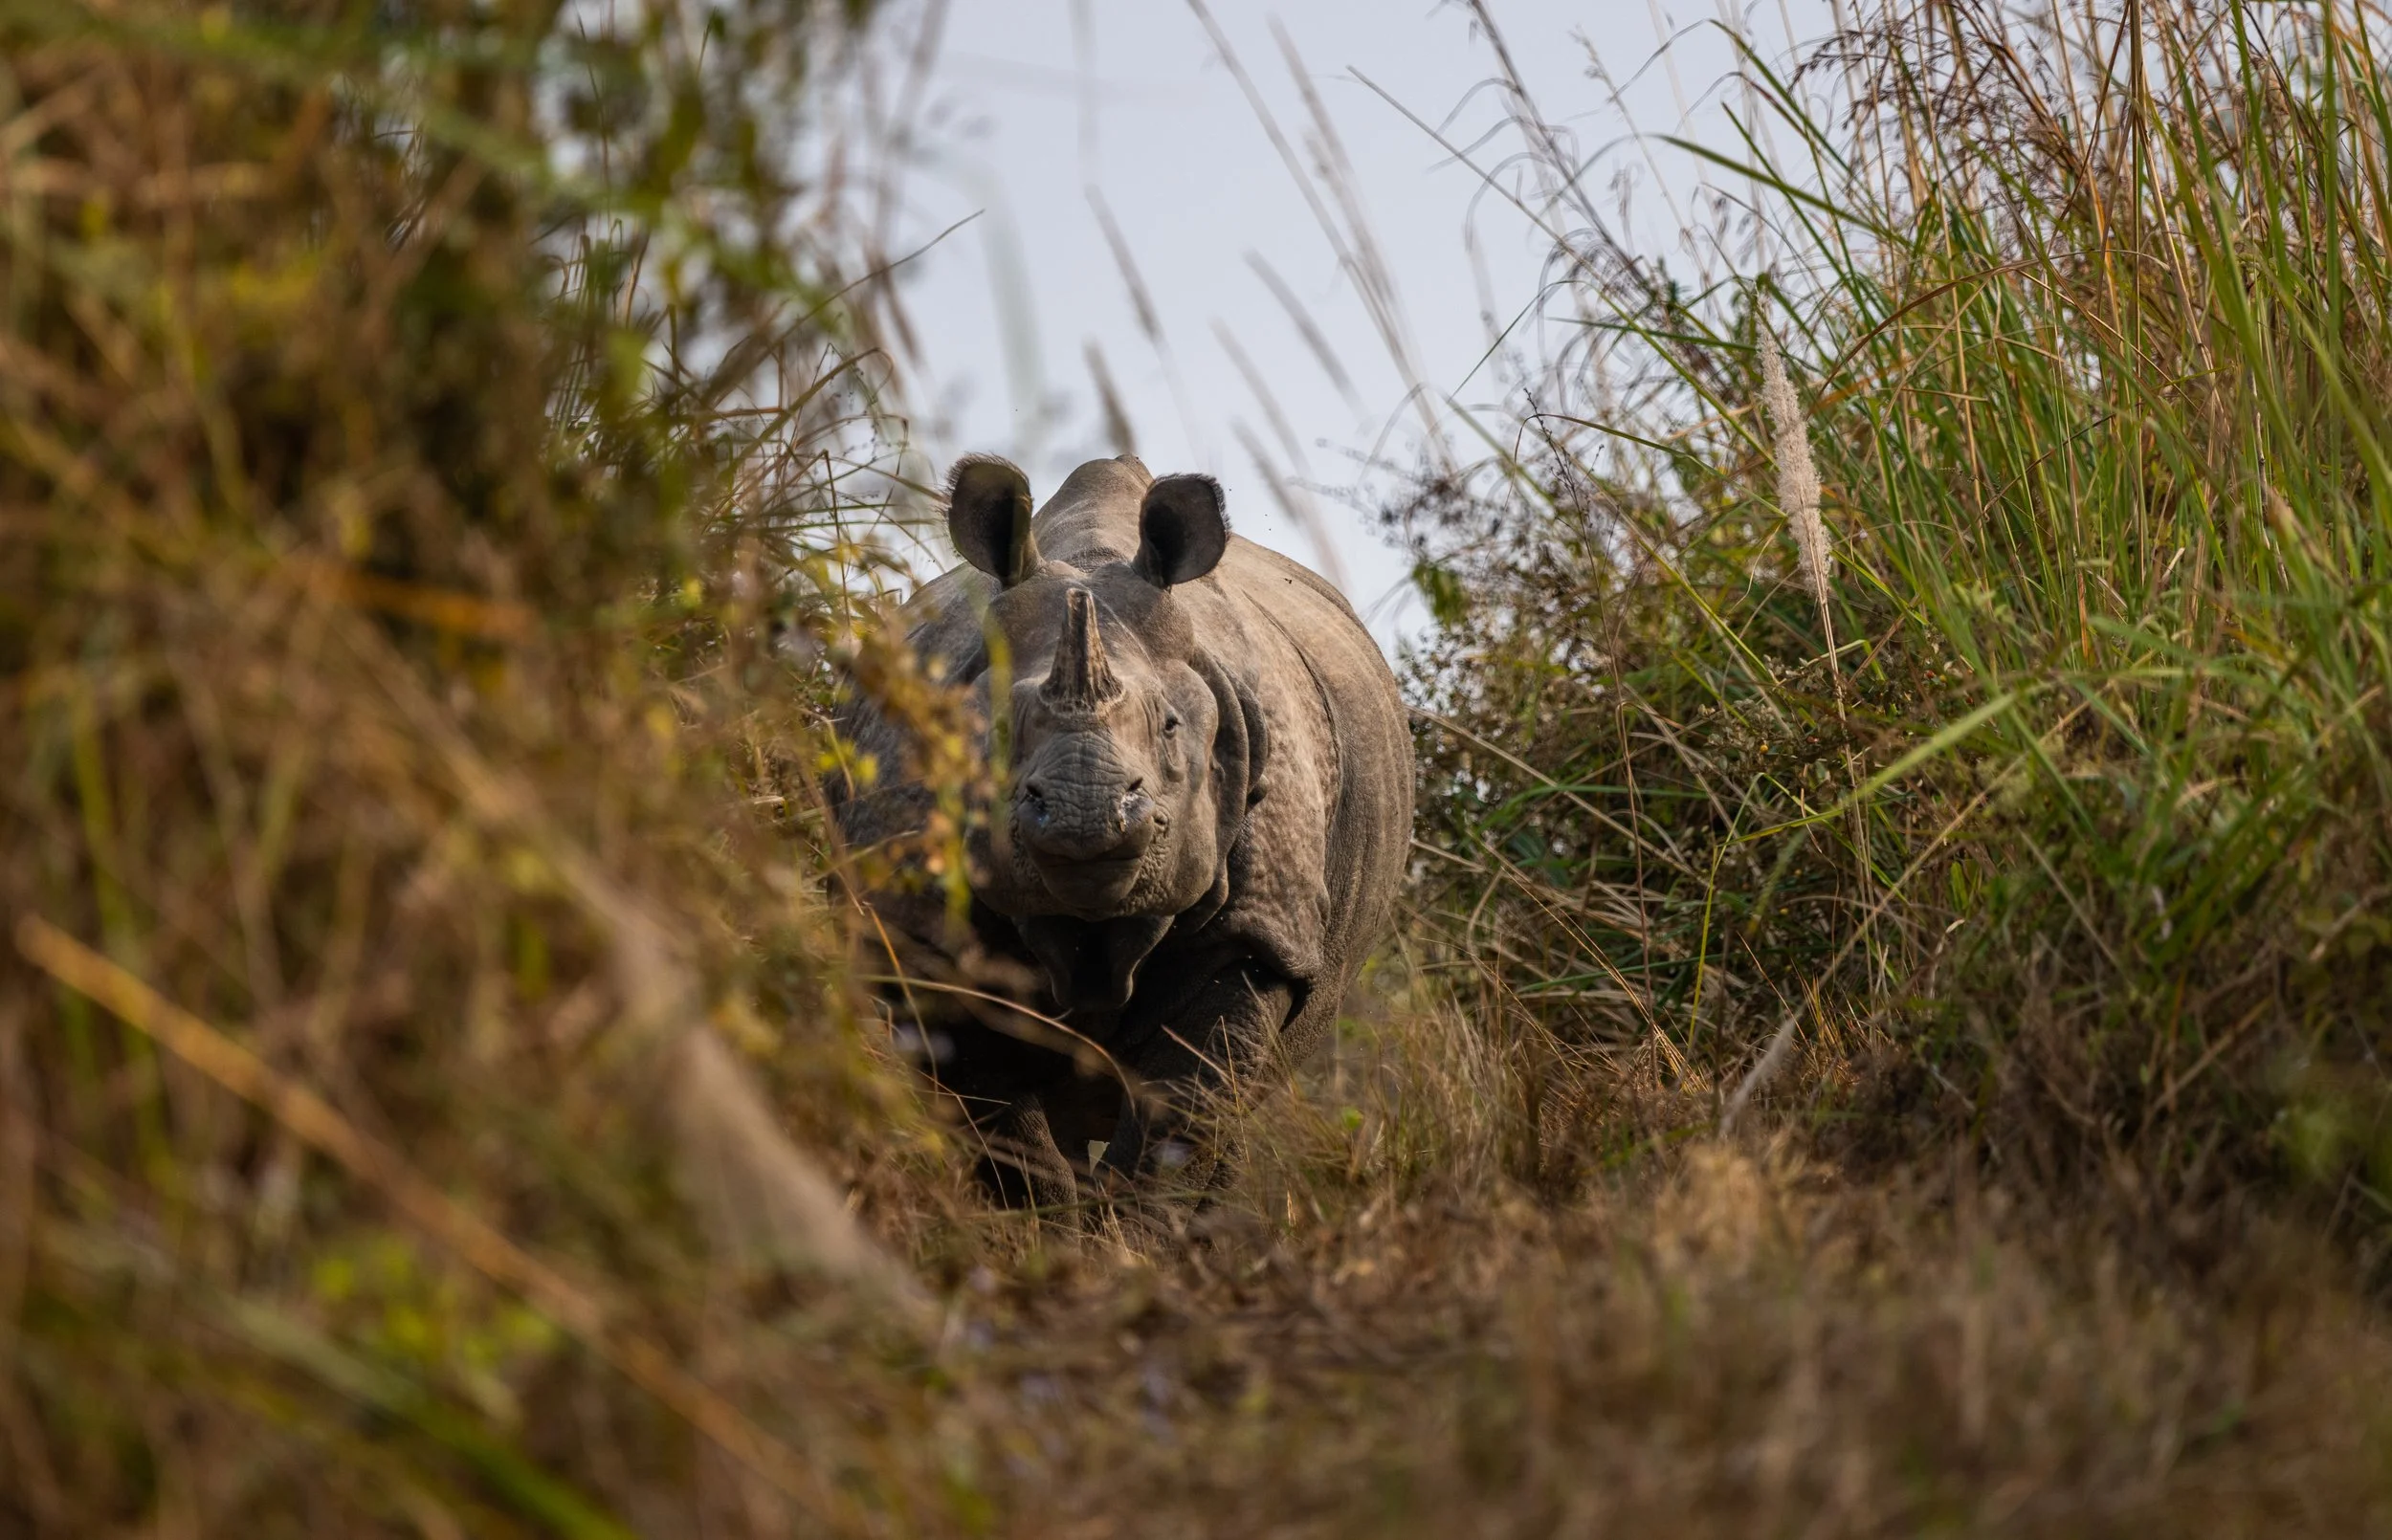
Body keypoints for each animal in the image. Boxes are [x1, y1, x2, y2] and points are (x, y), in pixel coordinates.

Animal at [832, 453, 1412, 1207]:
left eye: (1170, 727)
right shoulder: (922, 933)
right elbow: (1008, 1141)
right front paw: (1046, 1233)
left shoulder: (1258, 930)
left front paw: (1129, 1234)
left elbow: (1181, 1128)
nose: (1085, 815)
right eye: (990, 732)